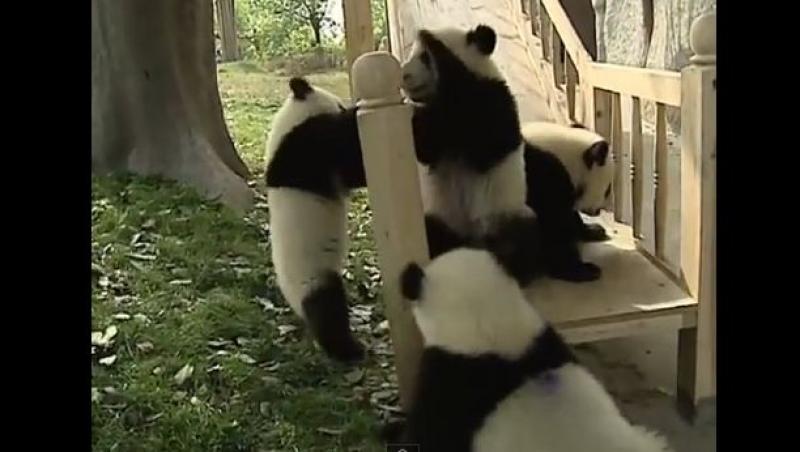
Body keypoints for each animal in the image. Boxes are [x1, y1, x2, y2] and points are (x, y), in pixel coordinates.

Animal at [265, 77, 366, 363]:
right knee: (328, 308)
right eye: (339, 104)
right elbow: (351, 161)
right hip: (312, 276)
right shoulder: (308, 148)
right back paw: (349, 350)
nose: (346, 105)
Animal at [400, 24, 536, 262]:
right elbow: (426, 148)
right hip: (441, 217)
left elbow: (486, 145)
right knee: (433, 233)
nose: (404, 74)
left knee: (523, 237)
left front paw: (431, 39)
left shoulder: (493, 100)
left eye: (425, 57)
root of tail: (472, 241)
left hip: (505, 212)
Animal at [521, 121, 615, 281]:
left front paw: (593, 230)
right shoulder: (542, 179)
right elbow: (554, 226)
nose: (598, 211)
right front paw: (582, 270)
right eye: (608, 190)